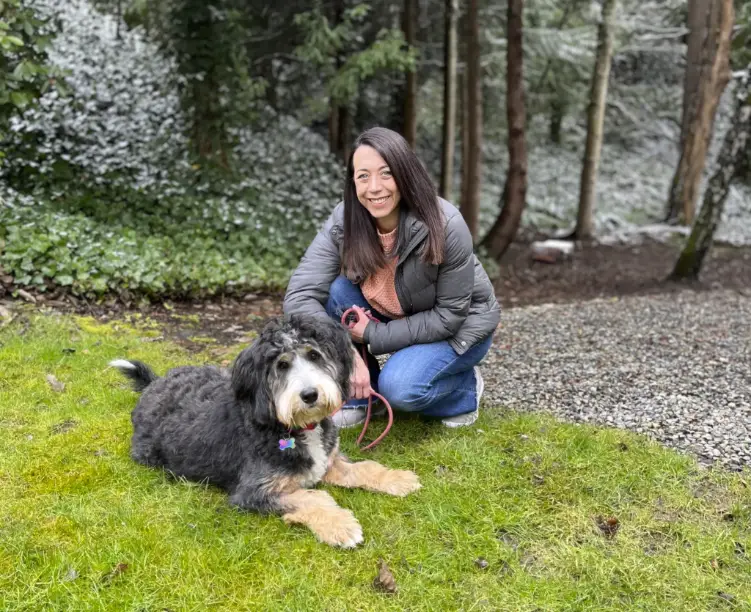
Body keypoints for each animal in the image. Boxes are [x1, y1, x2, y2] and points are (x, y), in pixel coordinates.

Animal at [108, 314, 420, 548]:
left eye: (314, 355)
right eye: (281, 365)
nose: (310, 395)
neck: (291, 426)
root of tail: (154, 384)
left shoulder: (327, 461)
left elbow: (364, 467)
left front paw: (398, 478)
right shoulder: (253, 492)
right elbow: (311, 498)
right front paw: (340, 525)